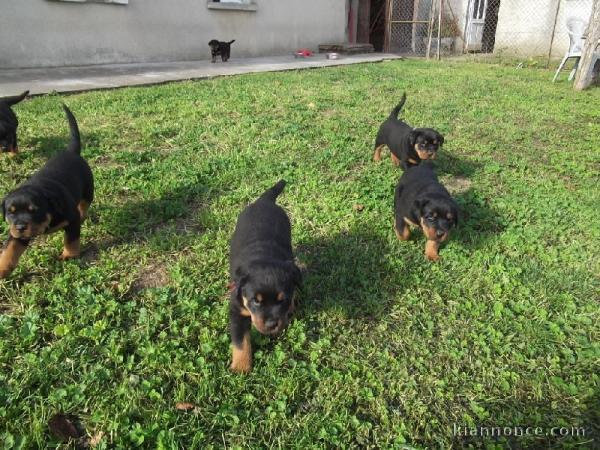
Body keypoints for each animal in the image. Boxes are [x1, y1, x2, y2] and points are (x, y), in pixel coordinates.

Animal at [0, 105, 94, 278]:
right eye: (11, 212)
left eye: (34, 211)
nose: (21, 227)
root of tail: (71, 152)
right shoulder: (16, 234)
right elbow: (10, 249)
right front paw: (2, 268)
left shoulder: (72, 219)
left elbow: (71, 240)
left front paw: (69, 256)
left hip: (88, 190)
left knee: (84, 204)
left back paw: (83, 215)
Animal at [230, 179, 304, 372]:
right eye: (256, 301)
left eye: (282, 300)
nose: (271, 324)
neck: (263, 256)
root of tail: (264, 201)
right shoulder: (236, 309)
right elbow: (240, 340)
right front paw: (241, 367)